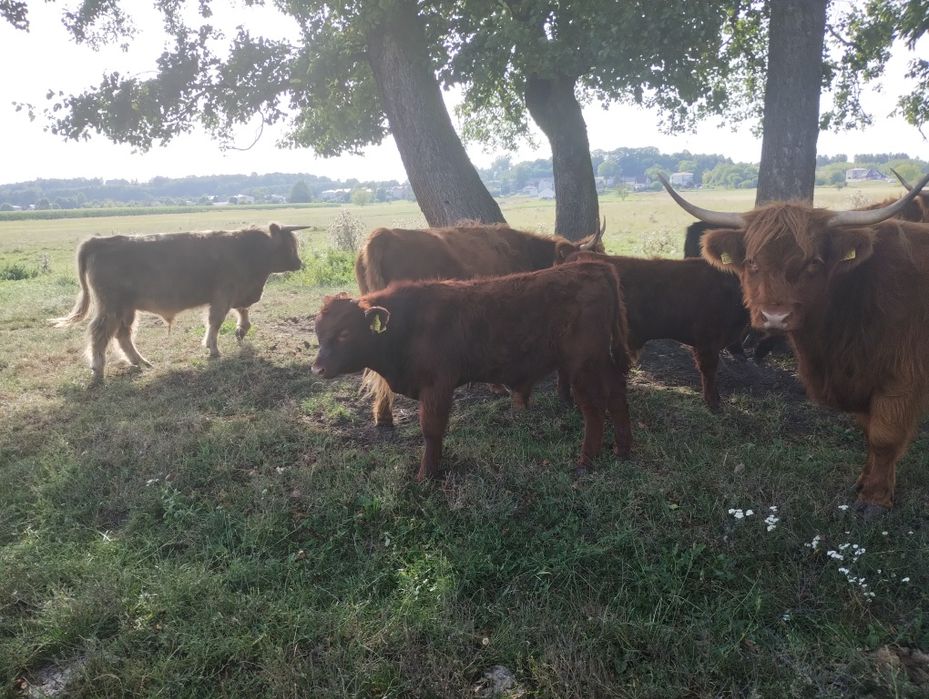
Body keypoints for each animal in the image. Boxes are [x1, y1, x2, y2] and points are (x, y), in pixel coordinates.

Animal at [54, 222, 305, 382]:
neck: (250, 251)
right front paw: (213, 349)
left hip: (127, 309)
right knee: (100, 333)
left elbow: (242, 312)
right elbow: (215, 322)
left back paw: (141, 362)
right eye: (290, 245)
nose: (300, 264)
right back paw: (98, 370)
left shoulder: (237, 293)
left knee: (123, 335)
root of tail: (99, 241)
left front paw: (241, 331)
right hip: (111, 307)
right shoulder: (223, 294)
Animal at [311, 261, 632, 481]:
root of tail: (593, 267)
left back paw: (585, 462)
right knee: (617, 397)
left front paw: (426, 476)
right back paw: (622, 450)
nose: (317, 368)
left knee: (593, 409)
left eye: (344, 333)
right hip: (601, 362)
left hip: (583, 365)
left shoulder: (437, 386)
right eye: (319, 330)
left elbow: (431, 431)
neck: (409, 323)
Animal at [659, 171, 929, 516]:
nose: (775, 317)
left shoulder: (901, 377)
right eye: (751, 262)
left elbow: (884, 437)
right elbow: (870, 432)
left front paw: (875, 500)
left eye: (813, 262)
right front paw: (864, 483)